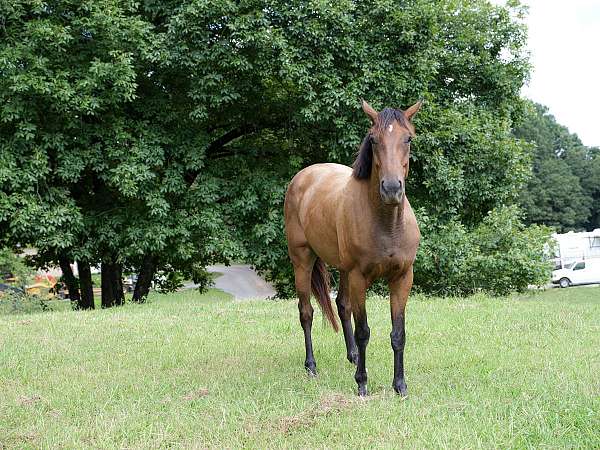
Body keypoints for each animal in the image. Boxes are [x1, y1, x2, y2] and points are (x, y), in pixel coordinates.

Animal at [284, 100, 422, 396]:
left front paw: (400, 385)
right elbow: (363, 332)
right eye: (374, 139)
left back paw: (353, 356)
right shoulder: (360, 278)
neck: (387, 224)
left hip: (343, 269)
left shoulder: (402, 278)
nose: (391, 188)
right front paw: (362, 383)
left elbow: (398, 333)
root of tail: (304, 176)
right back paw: (311, 366)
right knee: (306, 313)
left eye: (408, 139)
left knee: (342, 305)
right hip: (303, 261)